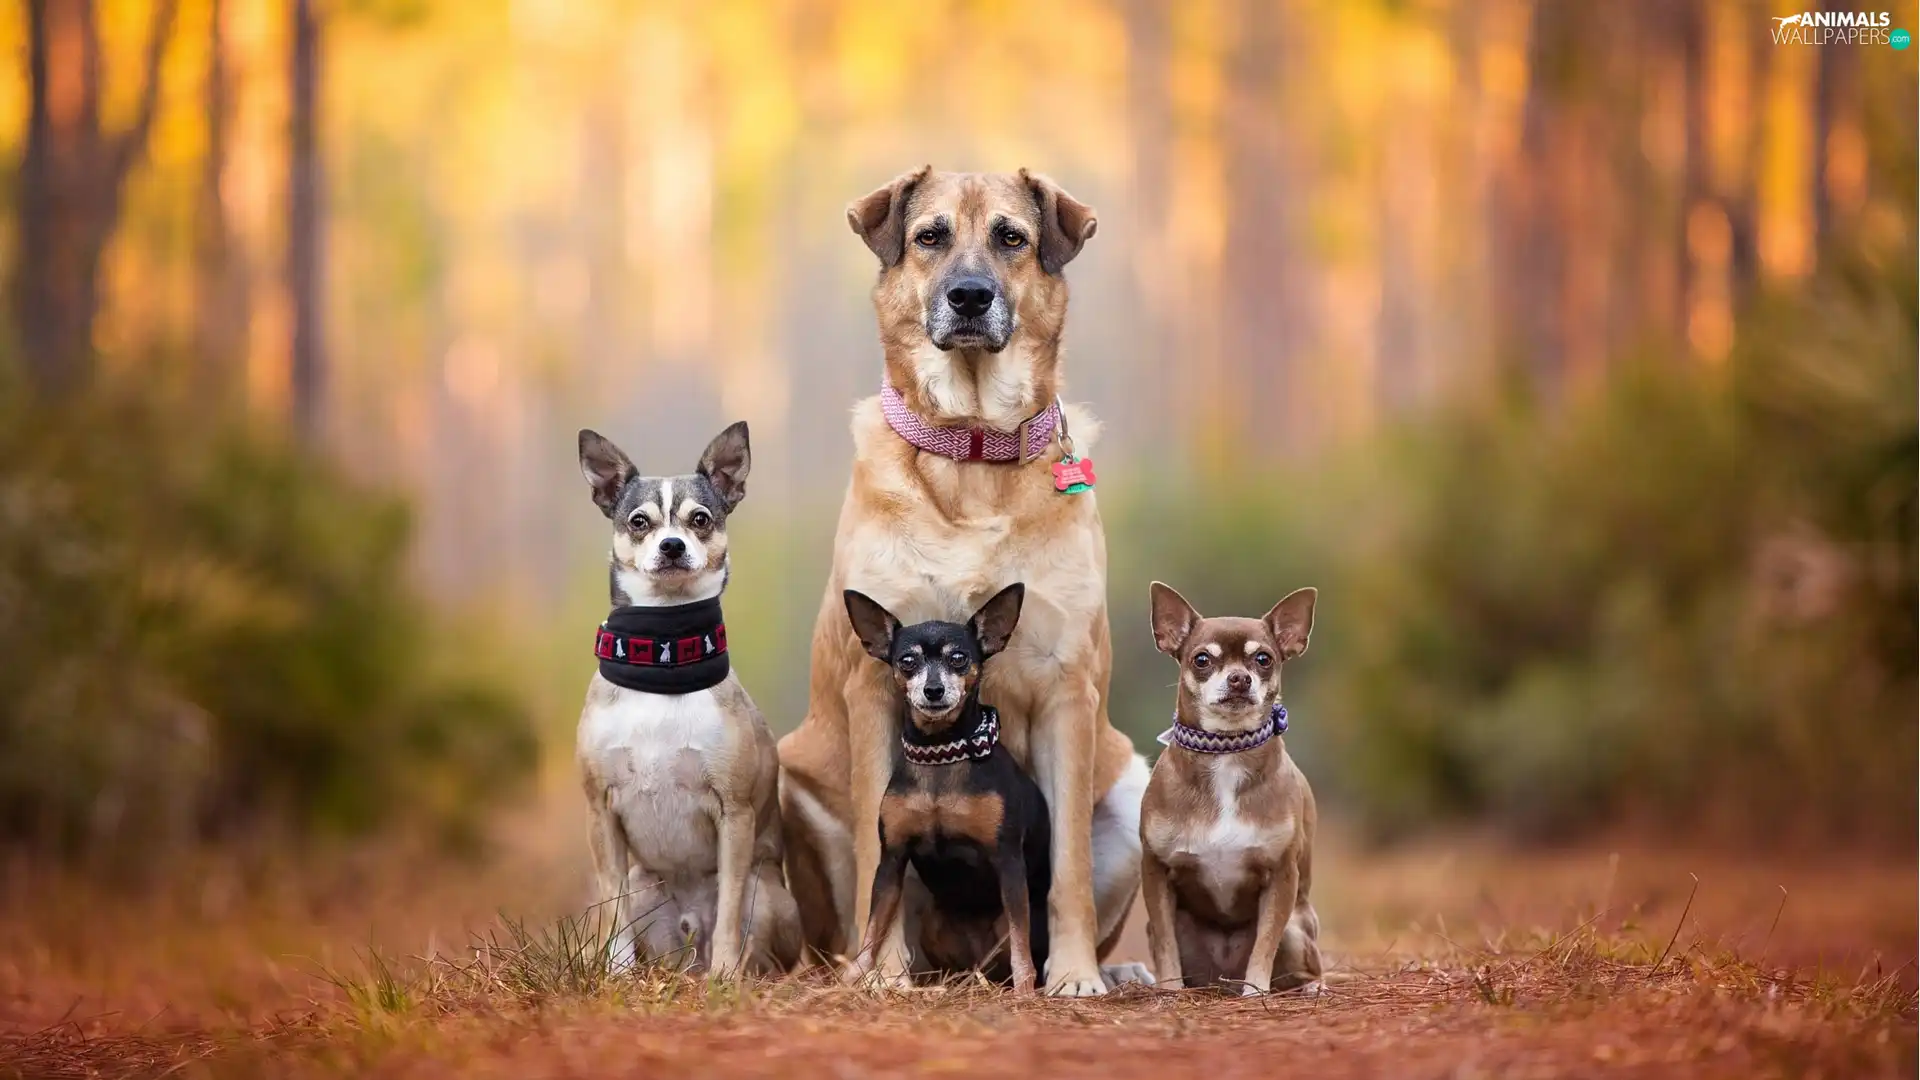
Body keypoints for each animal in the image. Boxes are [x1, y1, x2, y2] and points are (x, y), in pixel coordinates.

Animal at [771, 166, 1144, 991]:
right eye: (930, 236)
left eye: (1011, 237)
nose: (969, 296)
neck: (972, 450)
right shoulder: (872, 690)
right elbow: (879, 861)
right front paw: (881, 974)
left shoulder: (1067, 688)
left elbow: (1064, 868)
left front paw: (1073, 974)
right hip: (794, 780)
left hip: (1134, 786)